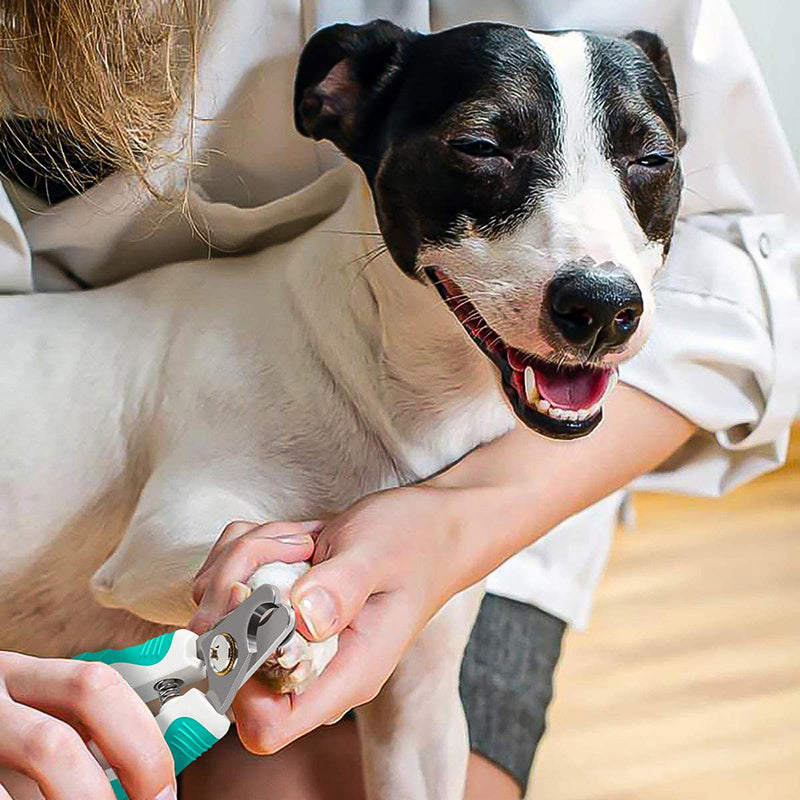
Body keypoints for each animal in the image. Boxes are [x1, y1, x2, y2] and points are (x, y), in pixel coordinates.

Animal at [0, 18, 684, 800]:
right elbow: (258, 557)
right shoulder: (154, 543)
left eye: (654, 158)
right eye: (479, 145)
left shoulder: (418, 710)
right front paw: (292, 627)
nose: (601, 308)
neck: (380, 392)